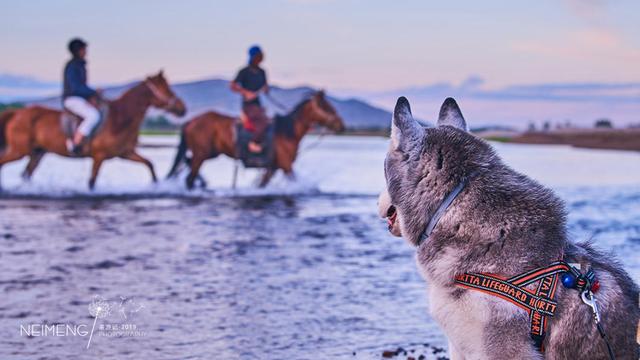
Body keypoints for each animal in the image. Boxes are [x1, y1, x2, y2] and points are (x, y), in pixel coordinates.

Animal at [0, 71, 185, 193]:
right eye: (167, 88)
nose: (182, 108)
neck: (120, 118)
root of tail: (16, 113)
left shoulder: (126, 153)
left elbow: (149, 164)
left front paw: (156, 185)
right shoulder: (99, 156)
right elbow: (92, 181)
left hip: (37, 152)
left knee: (26, 174)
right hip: (19, 150)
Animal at [168, 90, 342, 188]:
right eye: (326, 106)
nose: (341, 125)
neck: (288, 132)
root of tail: (190, 121)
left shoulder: (273, 167)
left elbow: (262, 184)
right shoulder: (286, 165)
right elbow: (294, 180)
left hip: (209, 153)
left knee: (187, 163)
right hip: (202, 154)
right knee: (189, 177)